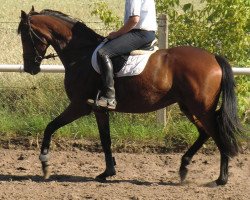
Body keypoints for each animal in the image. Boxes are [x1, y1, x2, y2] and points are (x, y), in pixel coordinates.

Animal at [17, 7, 242, 186]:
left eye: (25, 36)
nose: (29, 68)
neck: (80, 54)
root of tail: (213, 57)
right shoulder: (99, 109)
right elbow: (105, 140)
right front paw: (107, 172)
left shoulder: (79, 105)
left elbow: (50, 126)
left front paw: (45, 163)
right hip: (189, 106)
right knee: (205, 133)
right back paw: (184, 167)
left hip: (201, 108)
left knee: (217, 133)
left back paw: (221, 179)